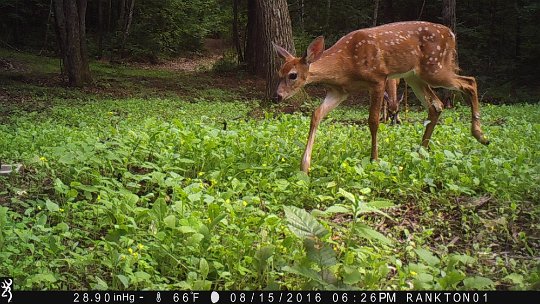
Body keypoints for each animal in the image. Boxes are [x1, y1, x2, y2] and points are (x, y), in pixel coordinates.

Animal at [274, 20, 490, 173]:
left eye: (292, 75)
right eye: (279, 72)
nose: (278, 96)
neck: (345, 65)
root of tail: (451, 34)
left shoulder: (378, 79)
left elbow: (373, 121)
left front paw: (374, 159)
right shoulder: (340, 91)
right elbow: (316, 114)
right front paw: (304, 166)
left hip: (435, 68)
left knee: (470, 81)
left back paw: (480, 135)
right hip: (414, 76)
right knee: (436, 105)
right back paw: (422, 150)